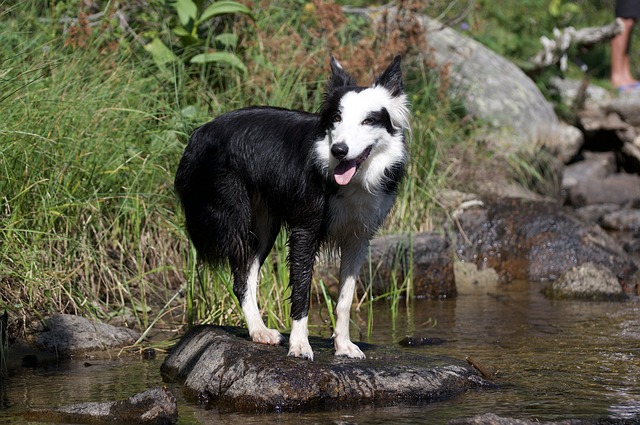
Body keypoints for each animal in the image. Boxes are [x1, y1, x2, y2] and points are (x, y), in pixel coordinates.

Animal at [175, 56, 410, 360]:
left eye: (368, 120)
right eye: (336, 119)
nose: (339, 150)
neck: (352, 179)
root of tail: (199, 132)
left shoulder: (358, 237)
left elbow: (345, 298)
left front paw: (344, 345)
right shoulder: (305, 230)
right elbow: (301, 288)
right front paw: (299, 344)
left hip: (264, 226)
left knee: (248, 274)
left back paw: (260, 330)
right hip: (233, 214)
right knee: (240, 276)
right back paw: (258, 330)